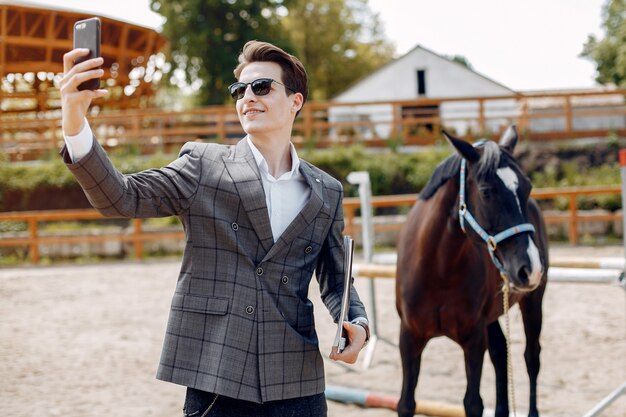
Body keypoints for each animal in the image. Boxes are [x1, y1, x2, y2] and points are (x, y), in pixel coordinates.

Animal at [394, 127, 544, 416]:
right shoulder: (409, 338)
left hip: (533, 301)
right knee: (500, 354)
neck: (438, 269)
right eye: (486, 192)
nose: (531, 268)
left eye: (528, 187)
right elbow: (406, 403)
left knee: (531, 358)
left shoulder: (473, 340)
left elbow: (473, 403)